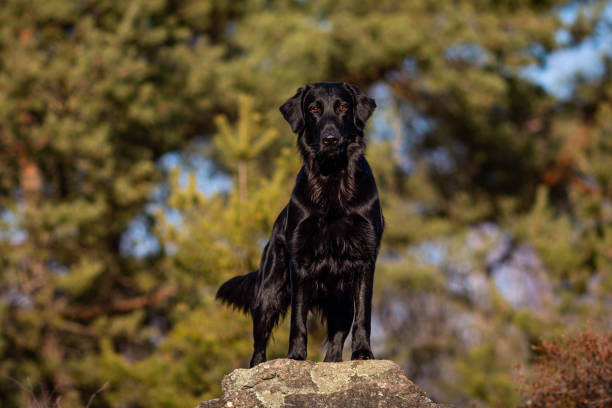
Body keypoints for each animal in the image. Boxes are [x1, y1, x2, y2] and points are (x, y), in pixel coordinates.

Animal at [218, 82, 384, 366]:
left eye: (343, 107)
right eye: (314, 109)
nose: (330, 139)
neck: (332, 177)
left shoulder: (364, 260)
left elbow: (364, 316)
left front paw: (363, 353)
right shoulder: (300, 262)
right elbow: (298, 319)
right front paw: (295, 357)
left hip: (341, 301)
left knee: (336, 342)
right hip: (269, 292)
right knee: (259, 343)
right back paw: (257, 366)